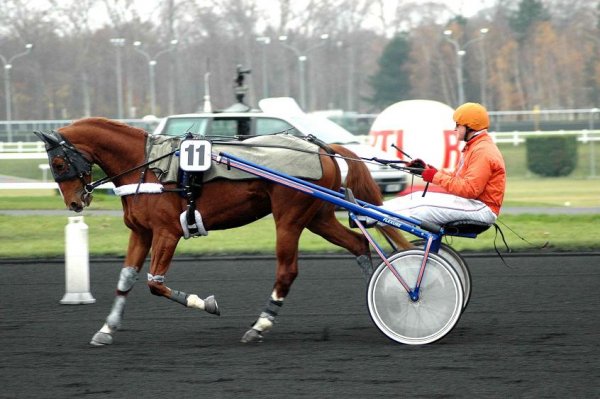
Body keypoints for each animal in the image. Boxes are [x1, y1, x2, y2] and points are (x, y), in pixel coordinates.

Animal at [34, 117, 412, 346]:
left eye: (59, 162)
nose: (75, 203)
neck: (149, 166)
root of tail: (324, 148)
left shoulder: (167, 233)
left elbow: (156, 283)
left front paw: (208, 303)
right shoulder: (140, 233)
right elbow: (126, 279)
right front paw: (106, 328)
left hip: (289, 218)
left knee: (287, 270)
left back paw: (260, 325)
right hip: (317, 216)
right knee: (359, 243)